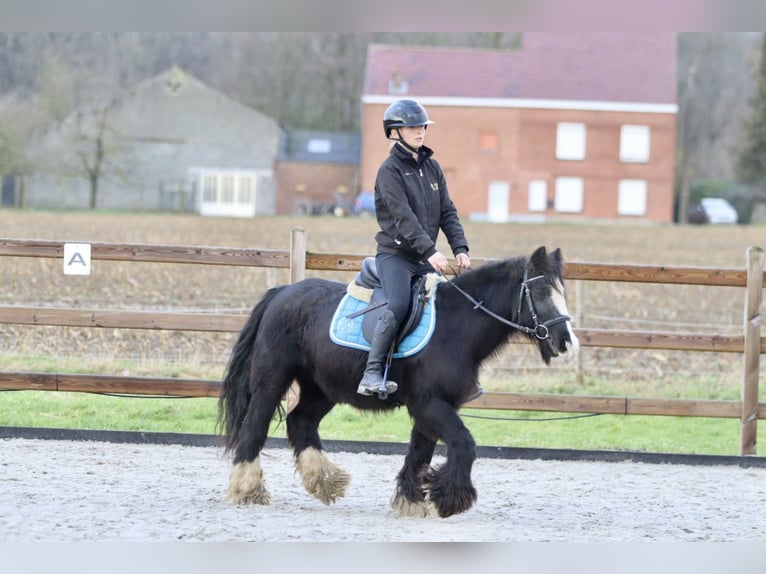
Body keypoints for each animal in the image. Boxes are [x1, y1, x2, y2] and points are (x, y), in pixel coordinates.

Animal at [219, 245, 580, 520]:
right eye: (540, 292)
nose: (566, 341)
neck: (456, 325)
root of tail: (281, 293)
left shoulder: (433, 406)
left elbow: (420, 452)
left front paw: (412, 499)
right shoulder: (429, 403)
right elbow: (464, 444)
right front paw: (449, 498)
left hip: (322, 388)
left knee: (301, 421)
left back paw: (326, 482)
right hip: (272, 380)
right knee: (255, 426)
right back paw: (247, 489)